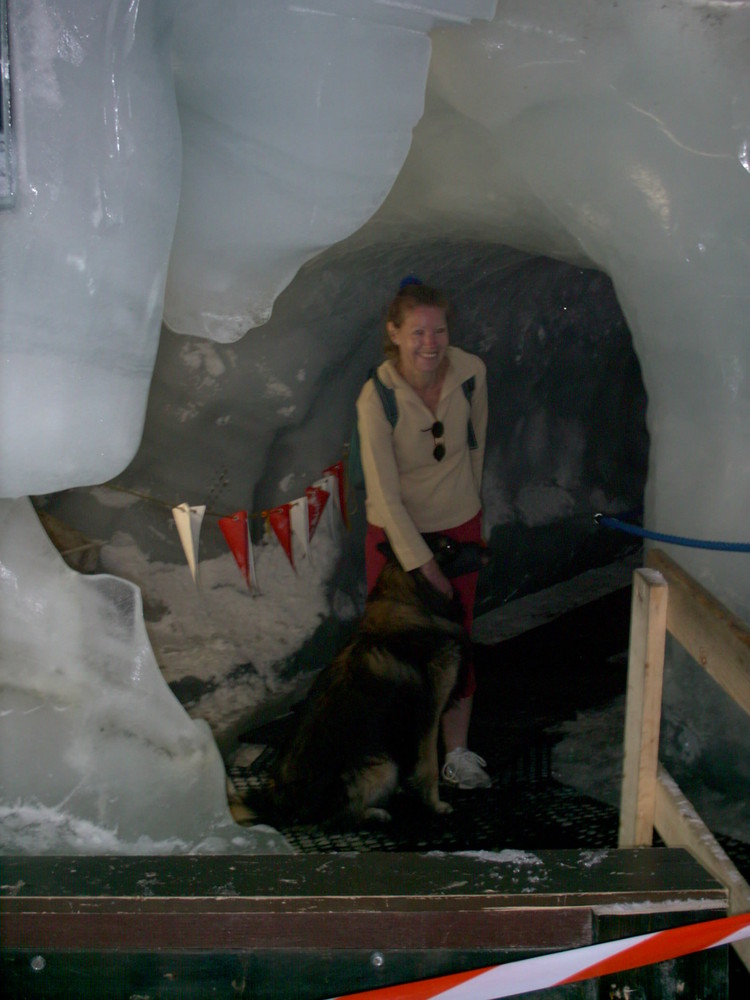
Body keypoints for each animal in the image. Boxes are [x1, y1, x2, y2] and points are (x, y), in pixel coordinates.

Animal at [242, 540, 488, 828]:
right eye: (449, 547)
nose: (486, 550)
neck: (410, 596)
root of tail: (282, 800)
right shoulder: (429, 717)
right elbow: (430, 768)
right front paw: (436, 805)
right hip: (384, 765)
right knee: (338, 816)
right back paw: (374, 812)